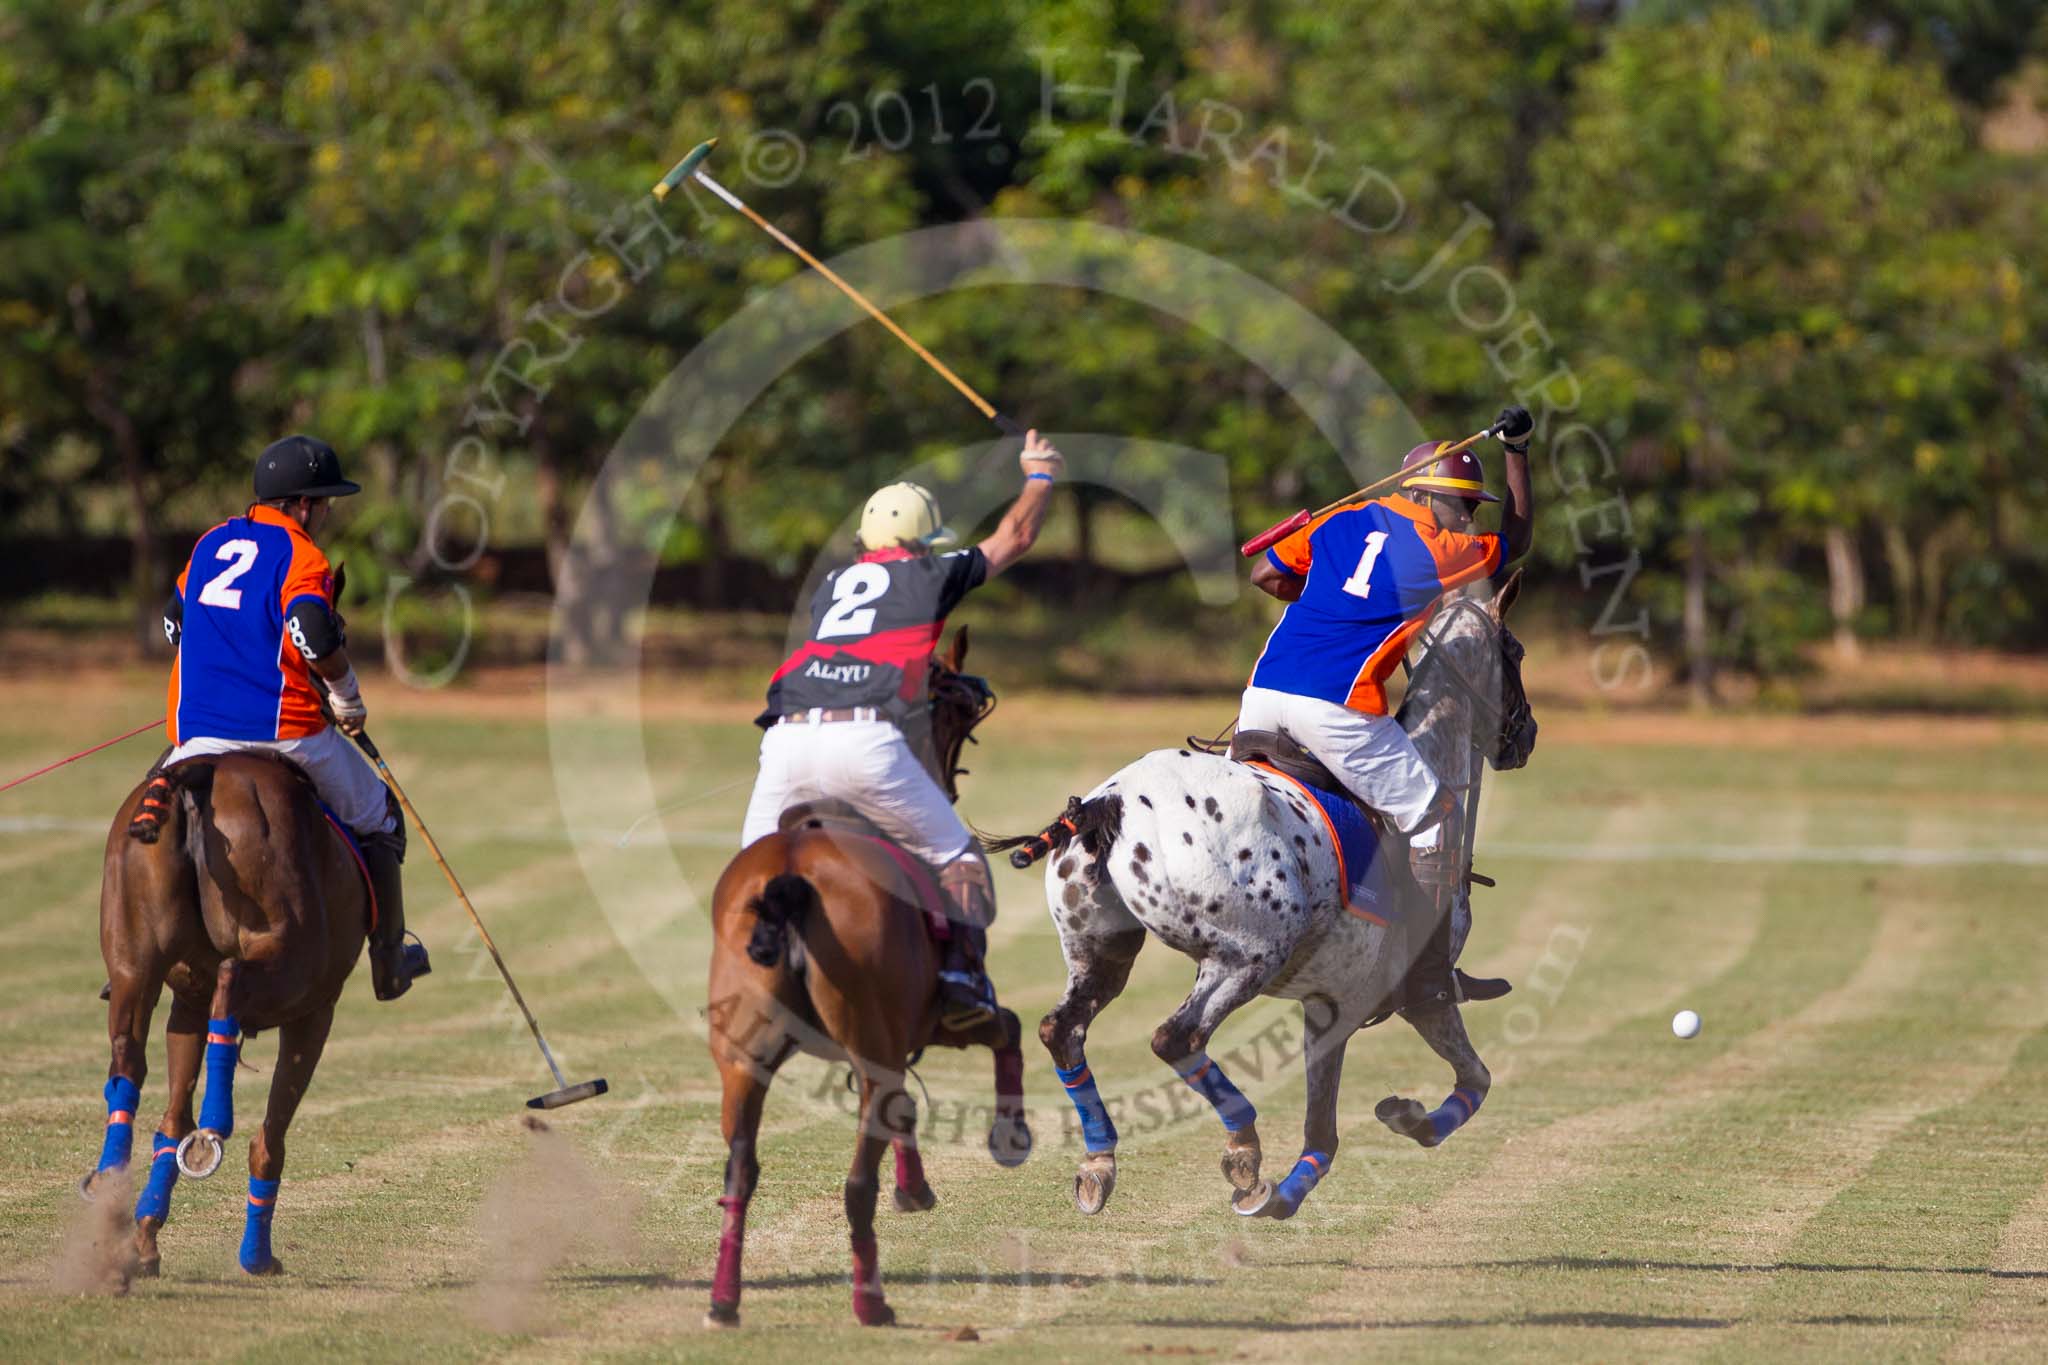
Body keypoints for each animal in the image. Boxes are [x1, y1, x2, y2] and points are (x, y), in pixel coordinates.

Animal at [86, 749, 376, 1285]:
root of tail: (201, 769)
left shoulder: (187, 1003)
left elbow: (172, 1120)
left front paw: (146, 1238)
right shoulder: (316, 1008)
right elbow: (270, 1137)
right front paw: (255, 1255)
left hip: (134, 961)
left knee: (127, 1062)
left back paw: (114, 1186)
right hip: (287, 951)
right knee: (231, 979)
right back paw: (217, 1122)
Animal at [704, 634, 1032, 1334]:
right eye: (957, 709)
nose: (948, 781)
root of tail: (791, 878)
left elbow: (908, 1103)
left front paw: (918, 1186)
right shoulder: (942, 1019)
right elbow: (1009, 1029)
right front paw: (1009, 1138)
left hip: (743, 1059)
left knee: (740, 1170)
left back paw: (724, 1299)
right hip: (867, 1032)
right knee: (858, 1180)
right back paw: (871, 1301)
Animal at [991, 577, 1540, 1227]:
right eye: (1516, 650)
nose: (1527, 736)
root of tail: (1112, 803)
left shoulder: (1325, 1003)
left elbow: (1325, 1131)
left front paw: (1289, 1193)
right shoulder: (1396, 999)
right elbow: (1471, 1080)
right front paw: (1405, 1119)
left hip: (1100, 948)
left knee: (1063, 1029)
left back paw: (1099, 1162)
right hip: (1247, 955)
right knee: (1176, 1037)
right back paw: (1243, 1150)